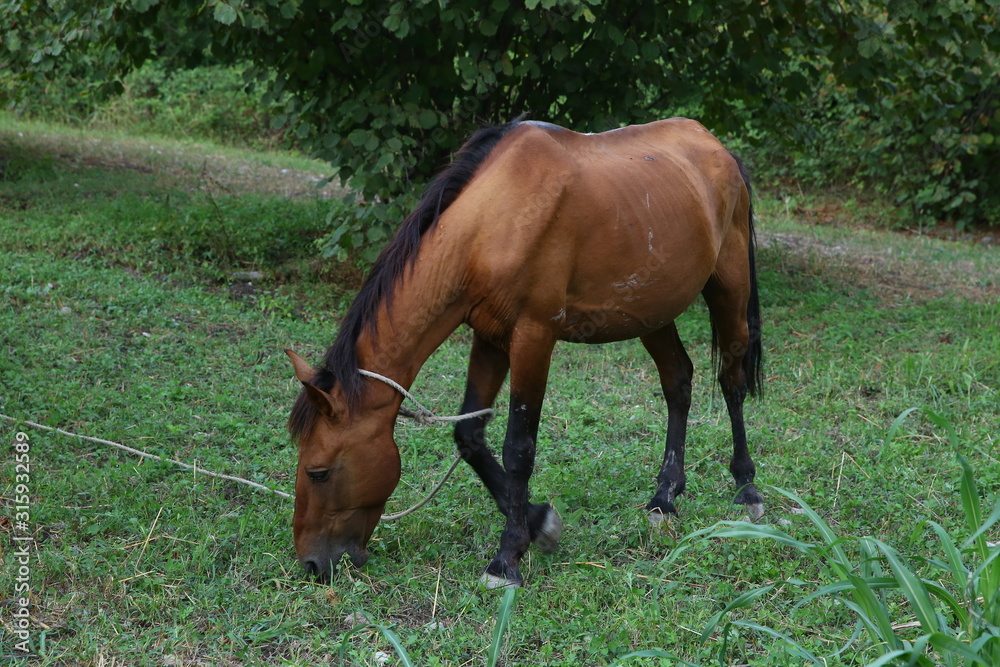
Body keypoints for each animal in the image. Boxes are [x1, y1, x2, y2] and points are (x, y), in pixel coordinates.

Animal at [286, 115, 763, 588]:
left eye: (318, 472)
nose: (312, 564)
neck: (492, 223)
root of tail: (718, 148)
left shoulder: (533, 338)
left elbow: (519, 448)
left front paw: (507, 557)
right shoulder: (491, 338)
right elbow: (470, 436)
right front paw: (538, 522)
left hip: (729, 290)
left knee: (732, 383)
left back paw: (746, 489)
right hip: (653, 312)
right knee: (678, 382)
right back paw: (665, 497)